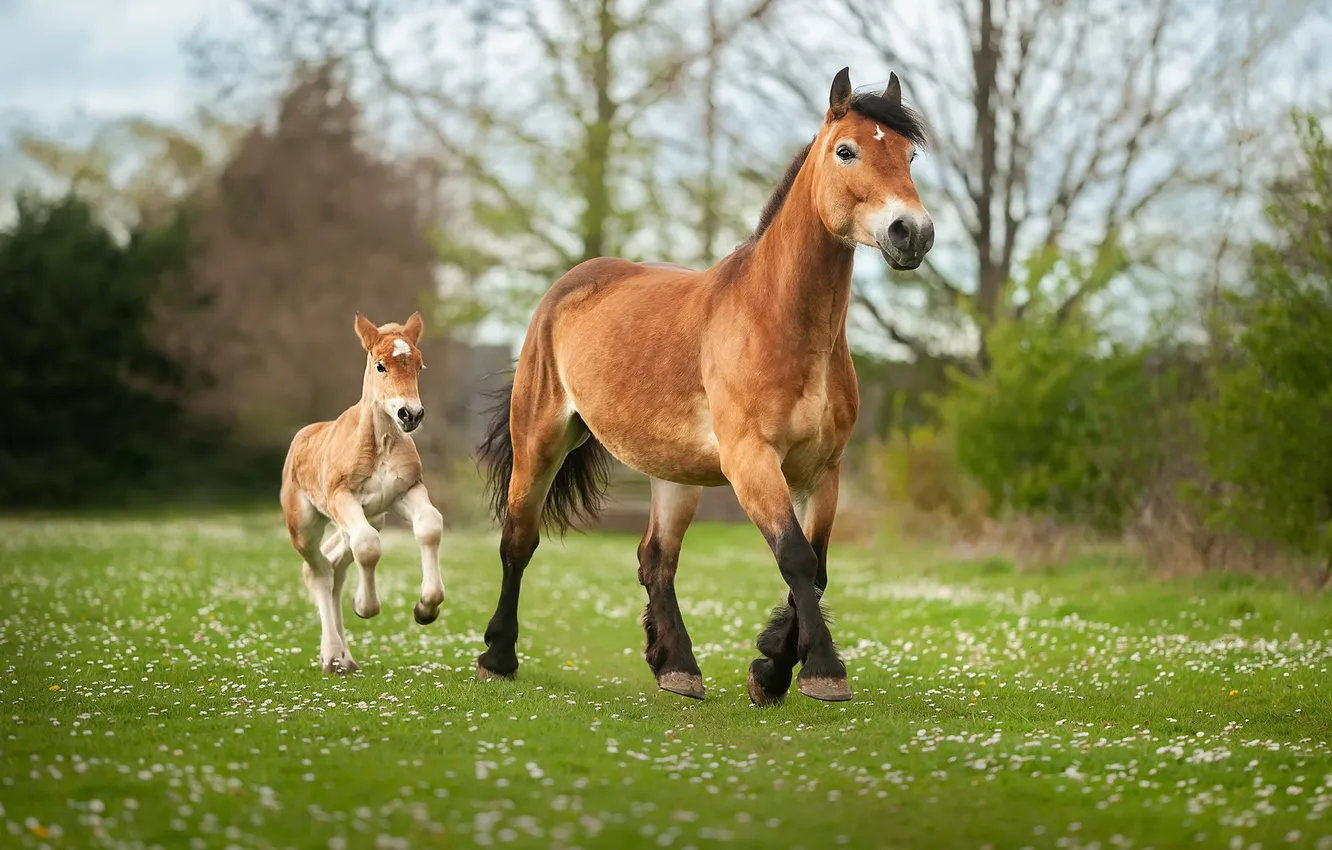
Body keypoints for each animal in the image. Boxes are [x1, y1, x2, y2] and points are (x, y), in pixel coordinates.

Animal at [280, 312, 446, 674]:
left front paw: (426, 607)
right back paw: (332, 657)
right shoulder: (342, 497)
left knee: (335, 568)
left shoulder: (406, 492)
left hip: (366, 519)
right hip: (305, 525)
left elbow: (430, 525)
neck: (381, 441)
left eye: (420, 365)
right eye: (380, 365)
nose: (410, 414)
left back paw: (345, 658)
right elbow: (368, 547)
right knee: (319, 571)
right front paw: (365, 606)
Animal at [476, 67, 933, 704]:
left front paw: (770, 669)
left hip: (674, 474)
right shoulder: (751, 462)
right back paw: (498, 655)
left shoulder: (823, 470)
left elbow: (815, 568)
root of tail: (566, 287)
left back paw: (677, 667)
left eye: (910, 154)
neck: (778, 320)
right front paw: (821, 671)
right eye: (847, 151)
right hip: (540, 439)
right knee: (519, 539)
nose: (911, 232)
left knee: (655, 559)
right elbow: (794, 557)